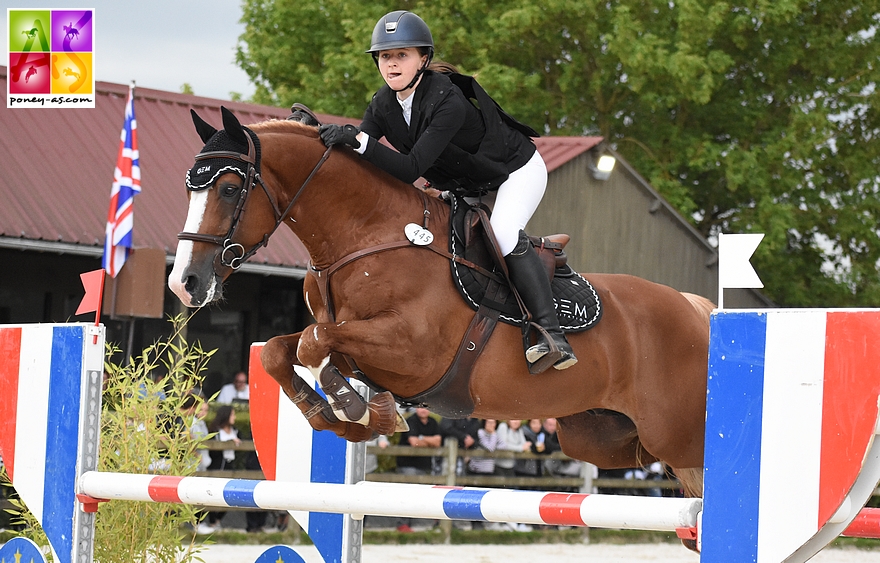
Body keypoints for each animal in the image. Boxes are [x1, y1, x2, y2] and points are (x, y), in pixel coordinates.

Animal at [168, 109, 712, 498]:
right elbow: (285, 351)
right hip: (602, 437)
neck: (368, 236)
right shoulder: (358, 343)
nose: (185, 282)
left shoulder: (413, 351)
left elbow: (312, 344)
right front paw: (353, 413)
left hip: (675, 434)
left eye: (230, 188)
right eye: (189, 188)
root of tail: (696, 310)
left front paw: (353, 406)